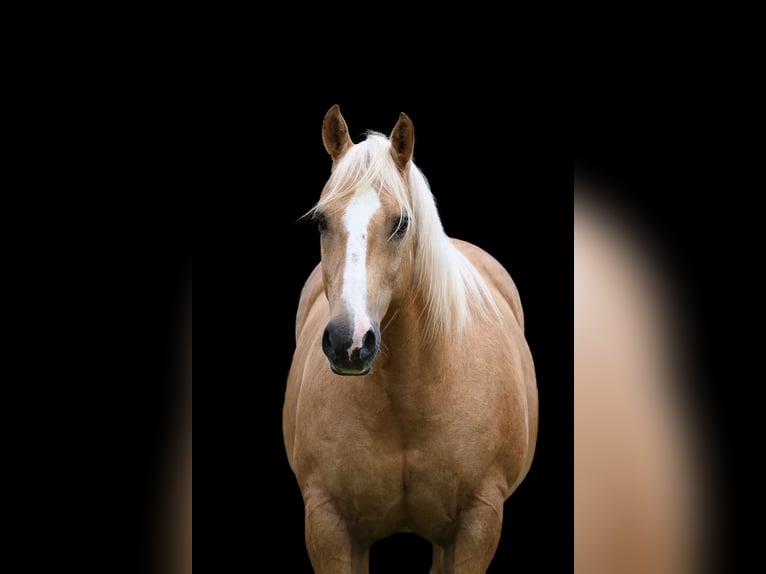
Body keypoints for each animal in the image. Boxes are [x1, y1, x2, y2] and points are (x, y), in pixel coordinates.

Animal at [283, 105, 538, 573]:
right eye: (321, 221)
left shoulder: (478, 523)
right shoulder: (328, 524)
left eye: (401, 223)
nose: (349, 342)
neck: (411, 396)